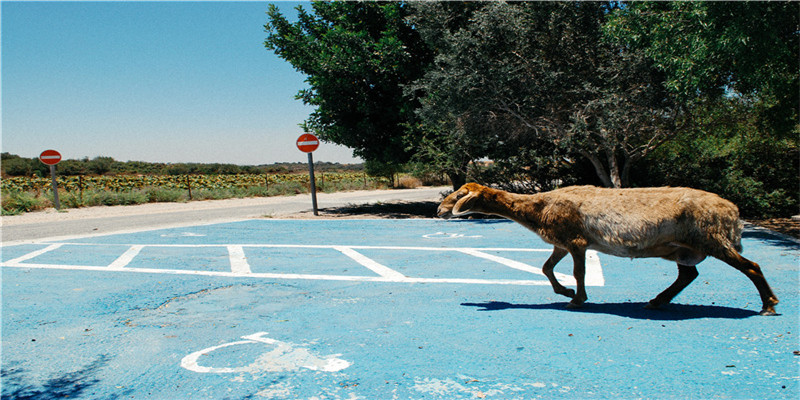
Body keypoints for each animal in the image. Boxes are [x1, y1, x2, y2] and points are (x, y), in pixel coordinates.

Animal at [434, 184, 780, 316]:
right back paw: (656, 301)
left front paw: (576, 299)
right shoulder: (561, 241)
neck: (539, 207)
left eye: (461, 195)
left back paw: (768, 305)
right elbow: (547, 268)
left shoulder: (575, 240)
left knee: (751, 267)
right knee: (688, 275)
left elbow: (578, 271)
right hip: (682, 247)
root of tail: (733, 212)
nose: (439, 209)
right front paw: (563, 292)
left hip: (711, 237)